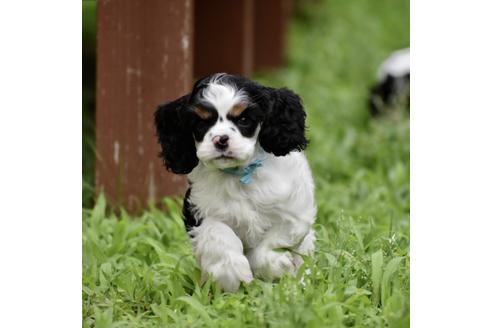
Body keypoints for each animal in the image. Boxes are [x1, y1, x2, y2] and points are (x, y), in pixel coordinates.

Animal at [155, 73, 320, 290]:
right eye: (201, 123)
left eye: (243, 119)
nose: (221, 140)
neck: (240, 174)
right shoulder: (202, 212)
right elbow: (219, 236)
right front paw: (231, 273)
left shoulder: (293, 213)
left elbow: (269, 244)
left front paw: (277, 265)